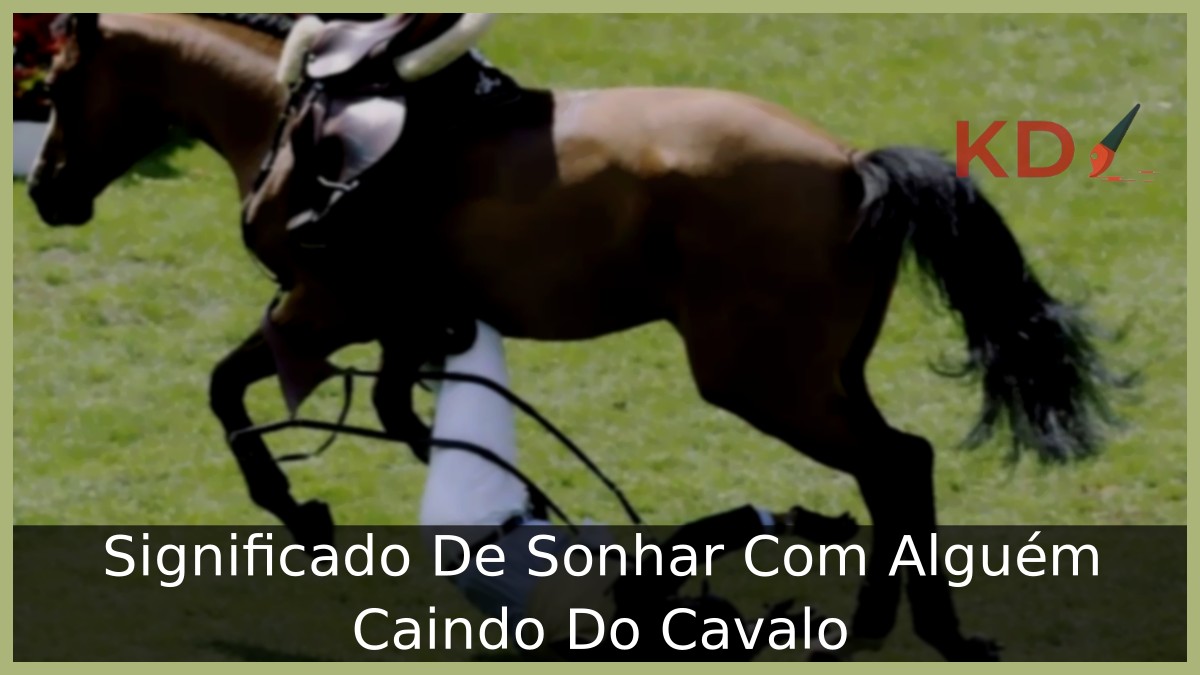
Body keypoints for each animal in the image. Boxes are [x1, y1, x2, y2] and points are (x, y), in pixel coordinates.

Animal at [238, 13, 1129, 661]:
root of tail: (853, 164)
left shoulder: (323, 309)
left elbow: (237, 391)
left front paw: (292, 504)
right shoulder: (389, 321)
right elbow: (389, 410)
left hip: (763, 380)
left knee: (894, 462)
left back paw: (894, 623)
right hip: (830, 373)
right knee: (898, 464)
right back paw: (897, 620)